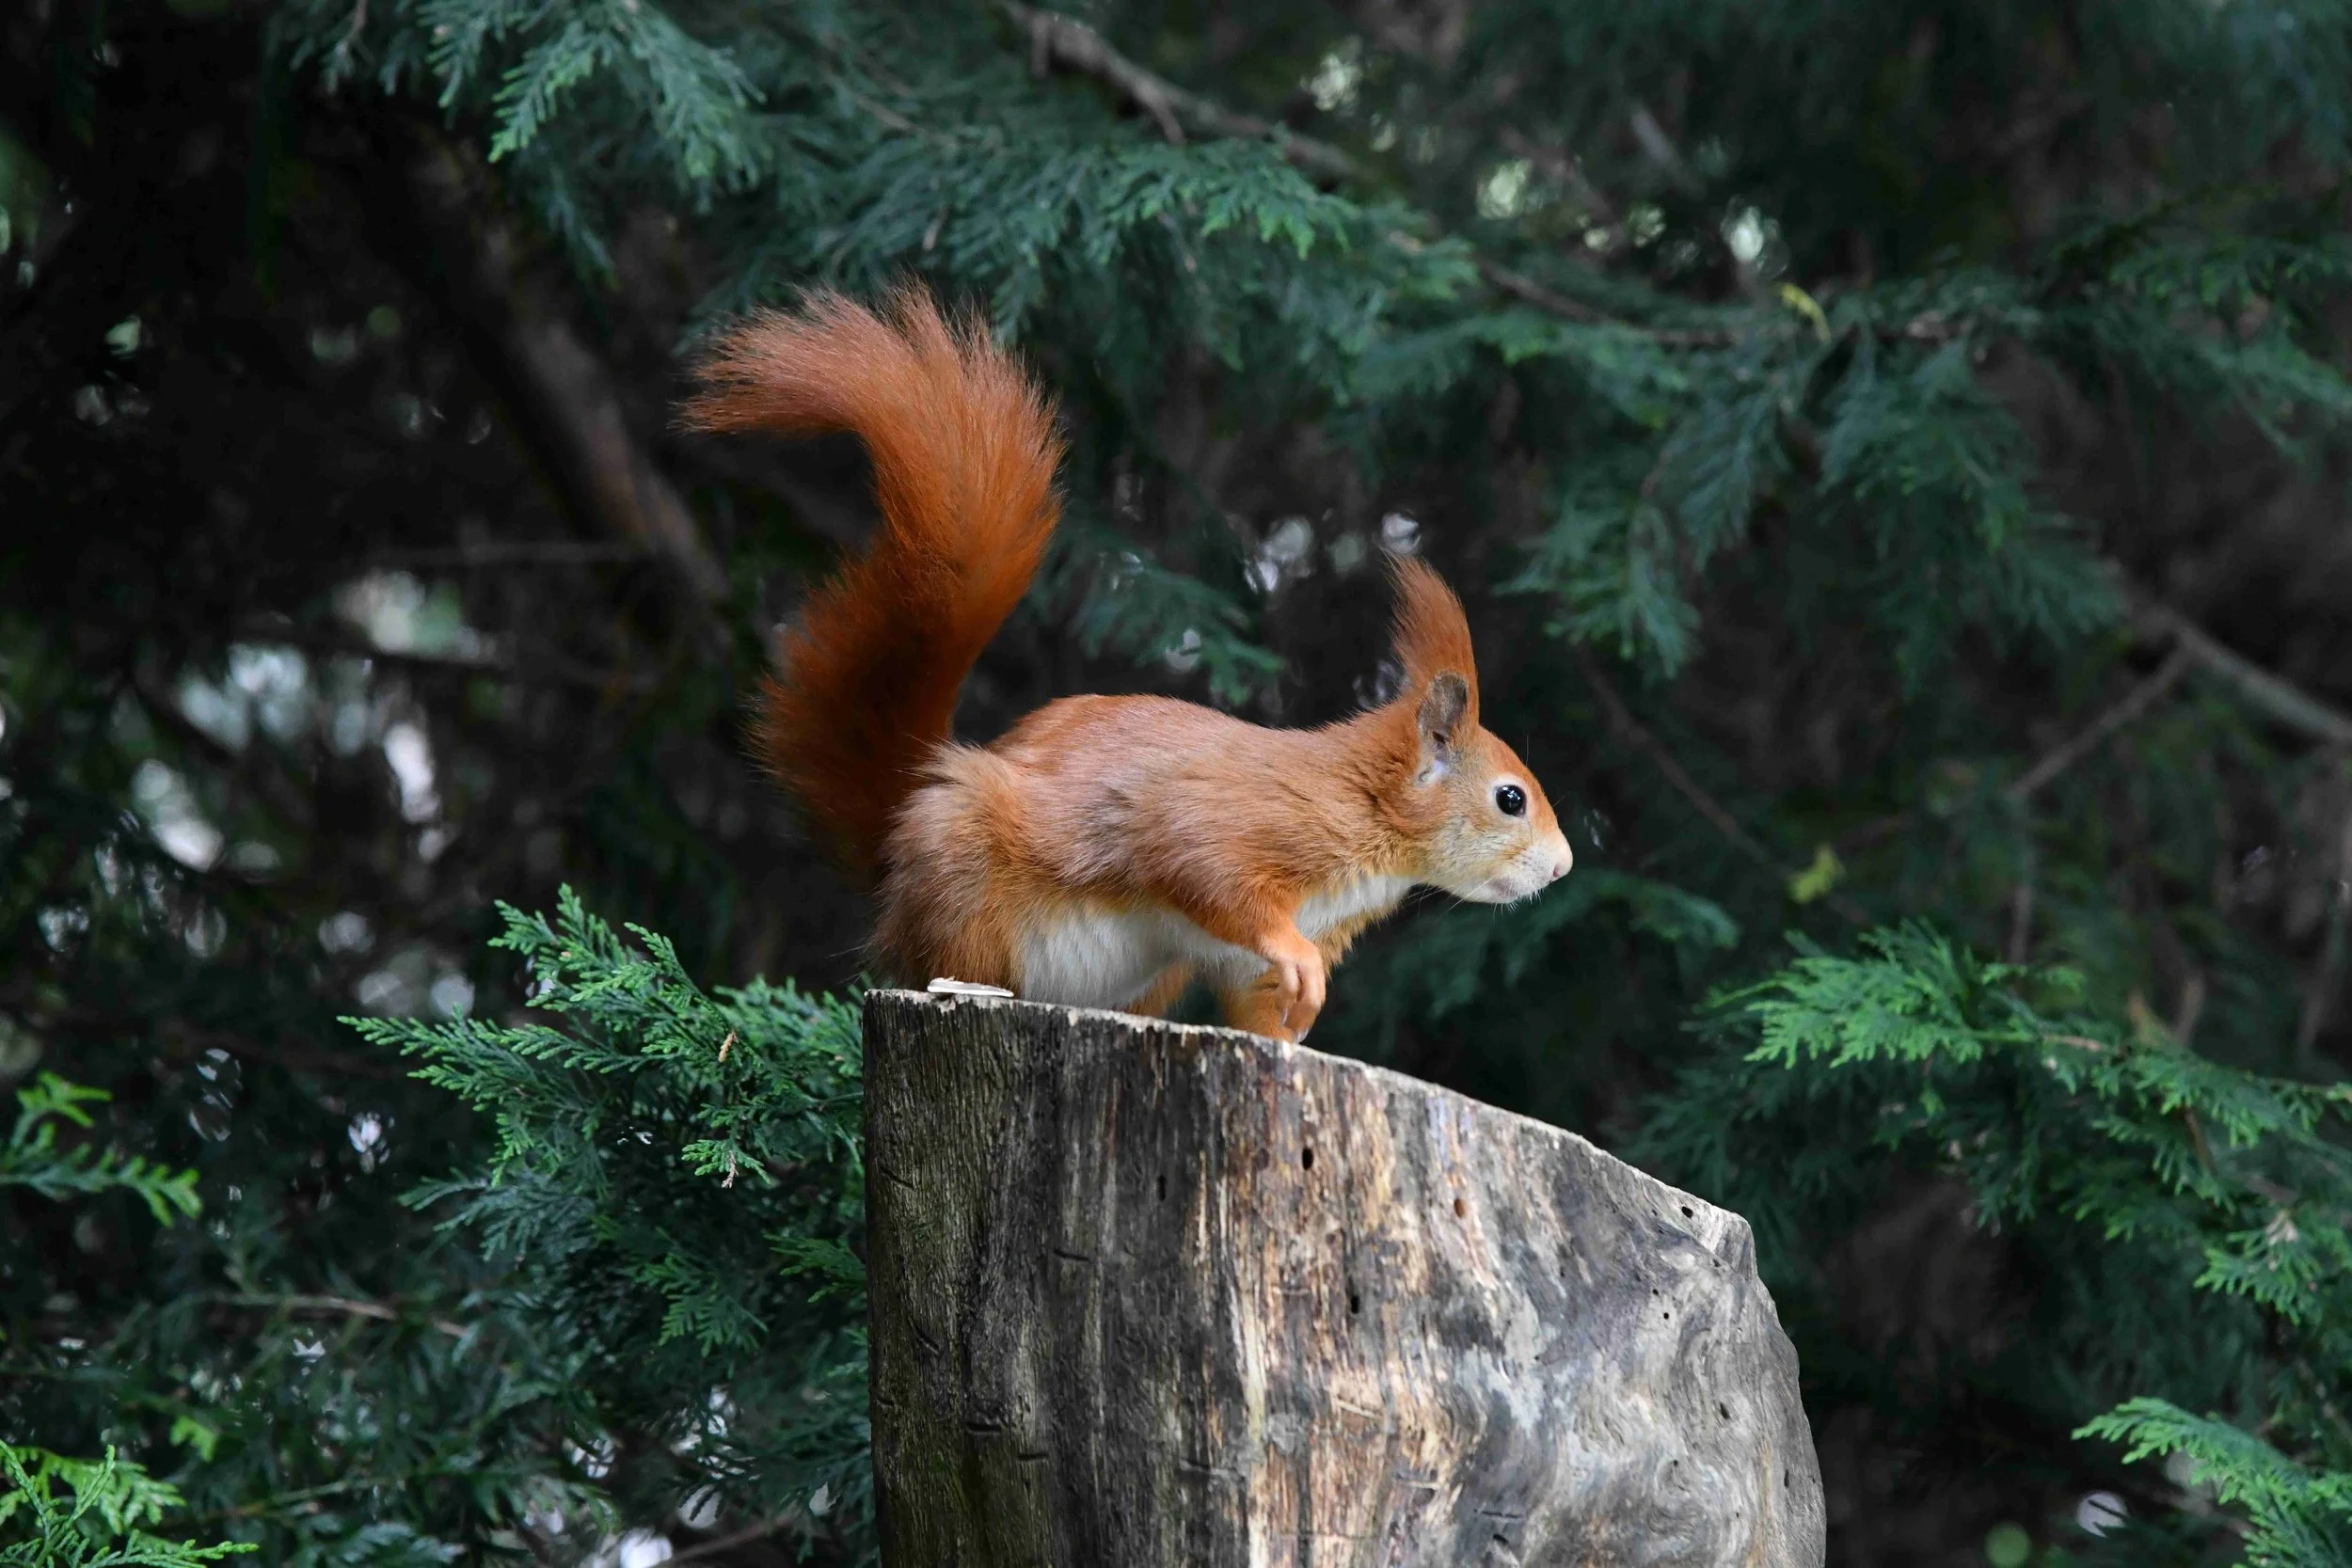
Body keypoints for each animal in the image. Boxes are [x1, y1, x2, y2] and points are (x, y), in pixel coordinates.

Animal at [683, 284, 1572, 1043]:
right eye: (1511, 798)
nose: (1564, 866)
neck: (1366, 813)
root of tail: (893, 857)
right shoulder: (1238, 820)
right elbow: (1209, 871)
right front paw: (1299, 961)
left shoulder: (1234, 956)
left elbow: (1256, 1004)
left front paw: (1296, 1028)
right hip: (964, 880)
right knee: (948, 961)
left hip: (1151, 972)